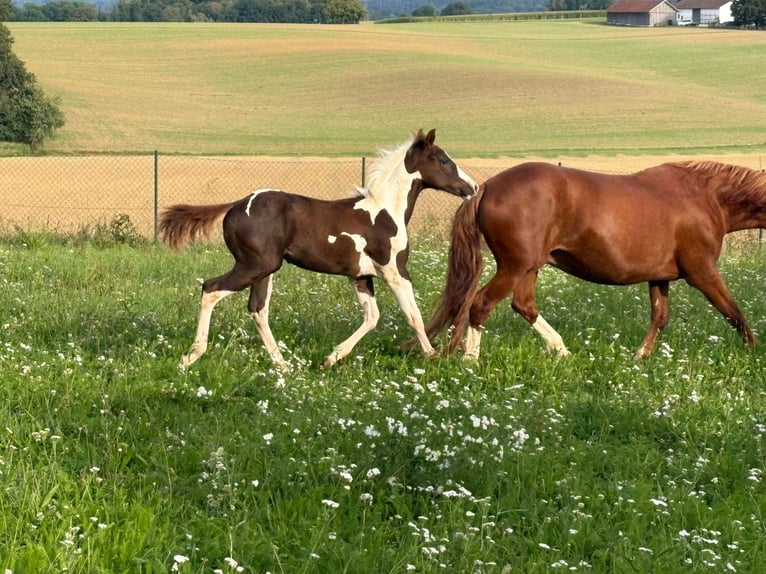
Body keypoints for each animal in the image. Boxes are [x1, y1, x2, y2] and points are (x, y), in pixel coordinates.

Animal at [159, 129, 478, 370]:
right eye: (443, 160)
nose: (472, 187)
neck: (385, 212)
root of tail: (236, 205)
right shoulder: (394, 271)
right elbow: (413, 316)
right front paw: (433, 357)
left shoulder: (360, 276)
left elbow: (372, 317)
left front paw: (330, 358)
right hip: (254, 266)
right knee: (211, 288)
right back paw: (191, 356)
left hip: (265, 269)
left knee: (257, 309)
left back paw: (283, 366)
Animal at [425, 160, 766, 360]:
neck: (705, 199)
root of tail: (485, 188)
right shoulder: (703, 273)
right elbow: (734, 313)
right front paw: (754, 353)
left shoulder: (659, 277)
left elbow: (660, 317)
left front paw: (640, 357)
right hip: (515, 267)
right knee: (480, 305)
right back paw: (471, 361)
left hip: (529, 268)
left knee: (523, 305)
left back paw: (562, 351)